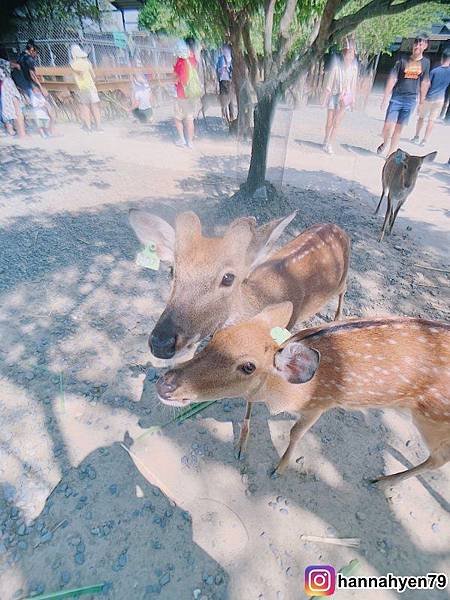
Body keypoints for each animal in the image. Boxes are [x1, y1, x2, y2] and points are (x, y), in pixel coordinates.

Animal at [130, 210, 352, 454]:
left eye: (228, 277)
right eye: (172, 270)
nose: (161, 342)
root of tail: (335, 226)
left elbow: (252, 396)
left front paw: (242, 445)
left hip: (343, 277)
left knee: (344, 290)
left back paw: (337, 318)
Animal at [157, 302, 450, 490]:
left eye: (248, 366)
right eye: (216, 335)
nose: (164, 385)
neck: (289, 394)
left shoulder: (320, 403)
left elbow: (296, 432)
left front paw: (279, 469)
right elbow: (250, 402)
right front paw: (241, 447)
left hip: (433, 418)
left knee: (440, 459)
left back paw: (383, 480)